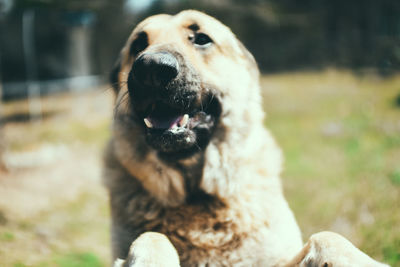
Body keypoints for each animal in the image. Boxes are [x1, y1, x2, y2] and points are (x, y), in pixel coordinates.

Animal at [104, 9, 390, 267]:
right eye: (139, 44)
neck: (197, 197)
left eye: (201, 39)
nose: (151, 69)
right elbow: (152, 236)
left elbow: (328, 237)